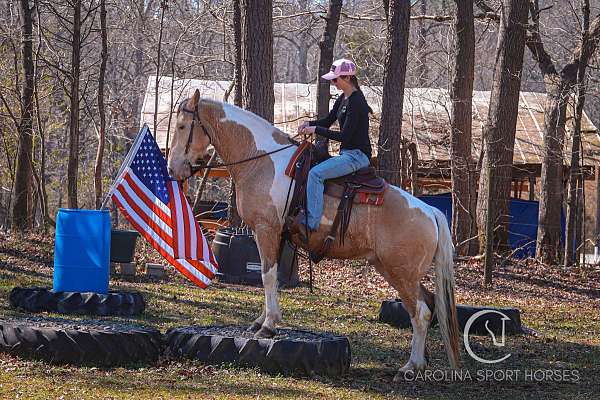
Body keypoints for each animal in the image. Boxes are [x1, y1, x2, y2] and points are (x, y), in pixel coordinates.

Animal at [168, 89, 460, 380]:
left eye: (182, 126)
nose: (172, 169)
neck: (262, 160)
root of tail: (430, 211)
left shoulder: (266, 229)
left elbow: (266, 276)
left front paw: (268, 326)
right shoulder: (275, 235)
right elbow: (271, 276)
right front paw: (262, 320)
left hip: (401, 273)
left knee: (421, 313)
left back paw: (410, 366)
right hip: (394, 270)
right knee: (426, 306)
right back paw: (420, 363)